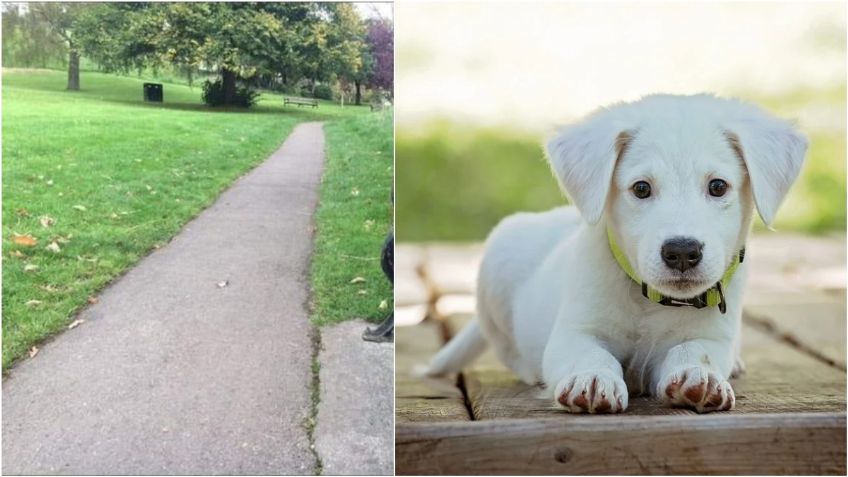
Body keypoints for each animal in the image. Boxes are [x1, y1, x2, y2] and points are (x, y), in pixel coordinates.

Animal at [430, 94, 808, 412]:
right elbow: (591, 354)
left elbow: (694, 350)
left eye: (718, 186)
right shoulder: (574, 332)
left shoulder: (712, 337)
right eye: (641, 188)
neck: (649, 301)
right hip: (498, 260)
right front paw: (593, 379)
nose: (682, 251)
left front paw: (697, 376)